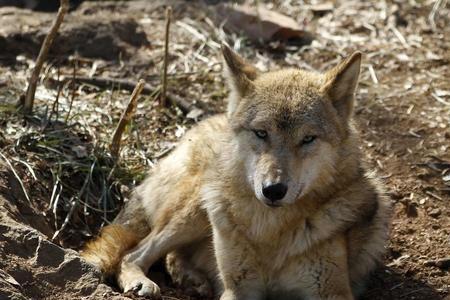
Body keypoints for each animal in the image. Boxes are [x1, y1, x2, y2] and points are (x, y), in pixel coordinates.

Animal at [82, 43, 392, 298]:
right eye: (261, 133)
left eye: (308, 139)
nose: (273, 190)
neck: (271, 230)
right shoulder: (239, 288)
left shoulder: (331, 291)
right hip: (195, 210)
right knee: (134, 254)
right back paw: (146, 282)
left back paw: (192, 280)